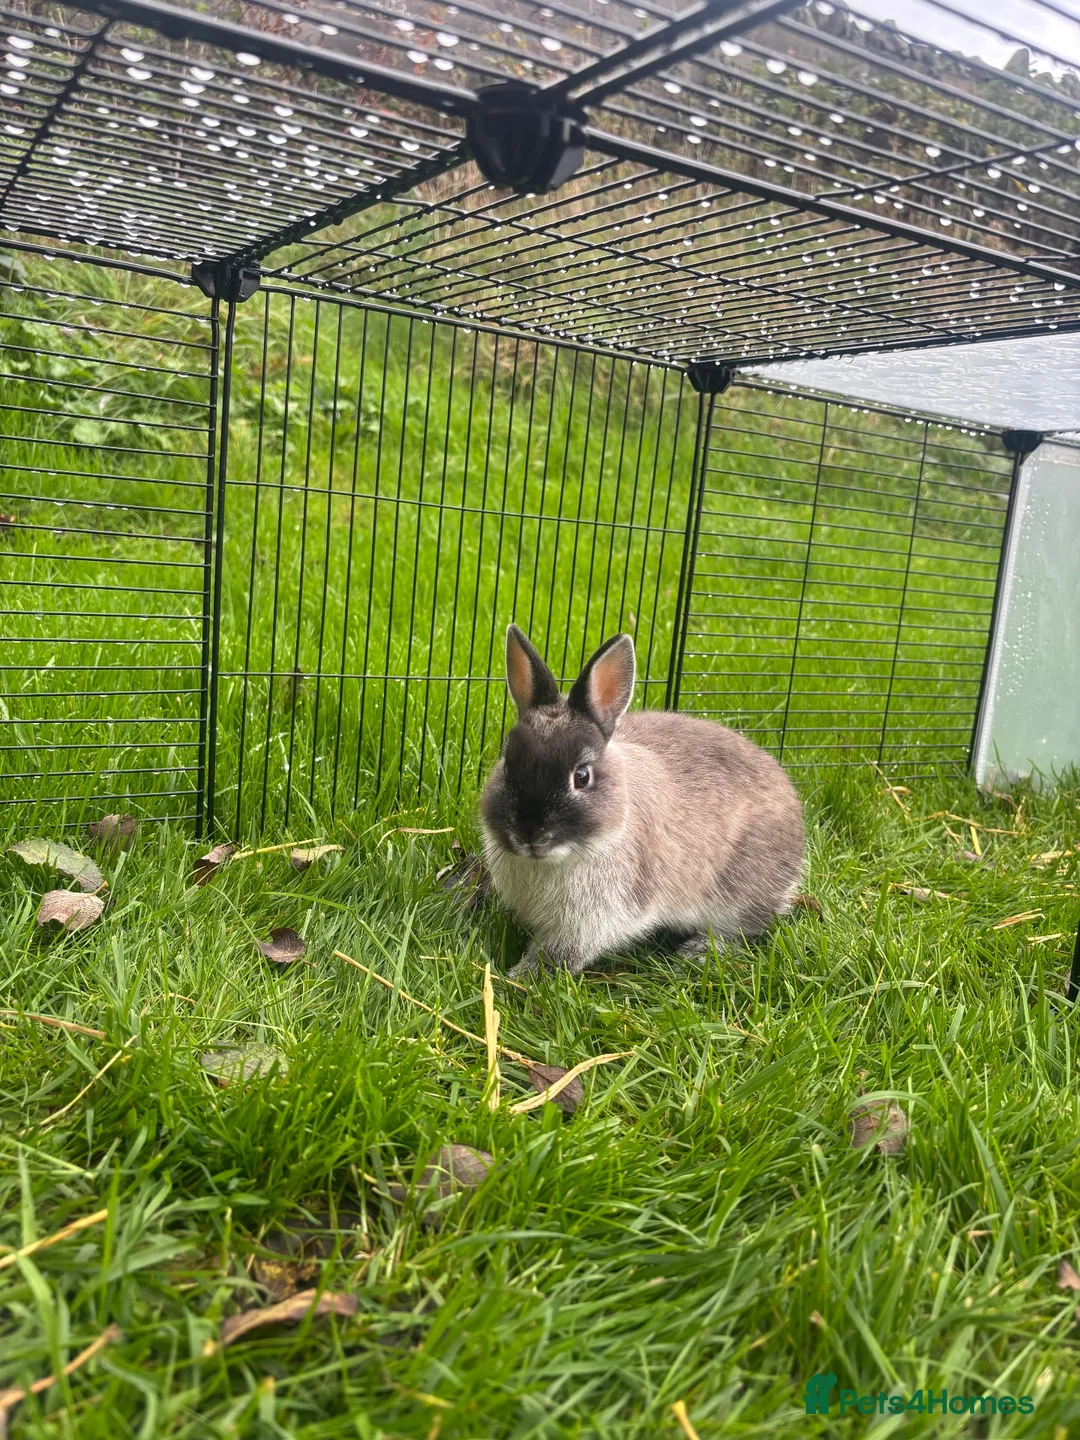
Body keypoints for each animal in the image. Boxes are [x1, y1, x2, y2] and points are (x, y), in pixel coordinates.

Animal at [480, 625, 804, 977]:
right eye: (507, 765)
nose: (529, 836)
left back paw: (699, 951)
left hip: (738, 891)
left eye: (582, 776)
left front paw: (521, 976)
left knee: (748, 926)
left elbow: (561, 951)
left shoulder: (592, 920)